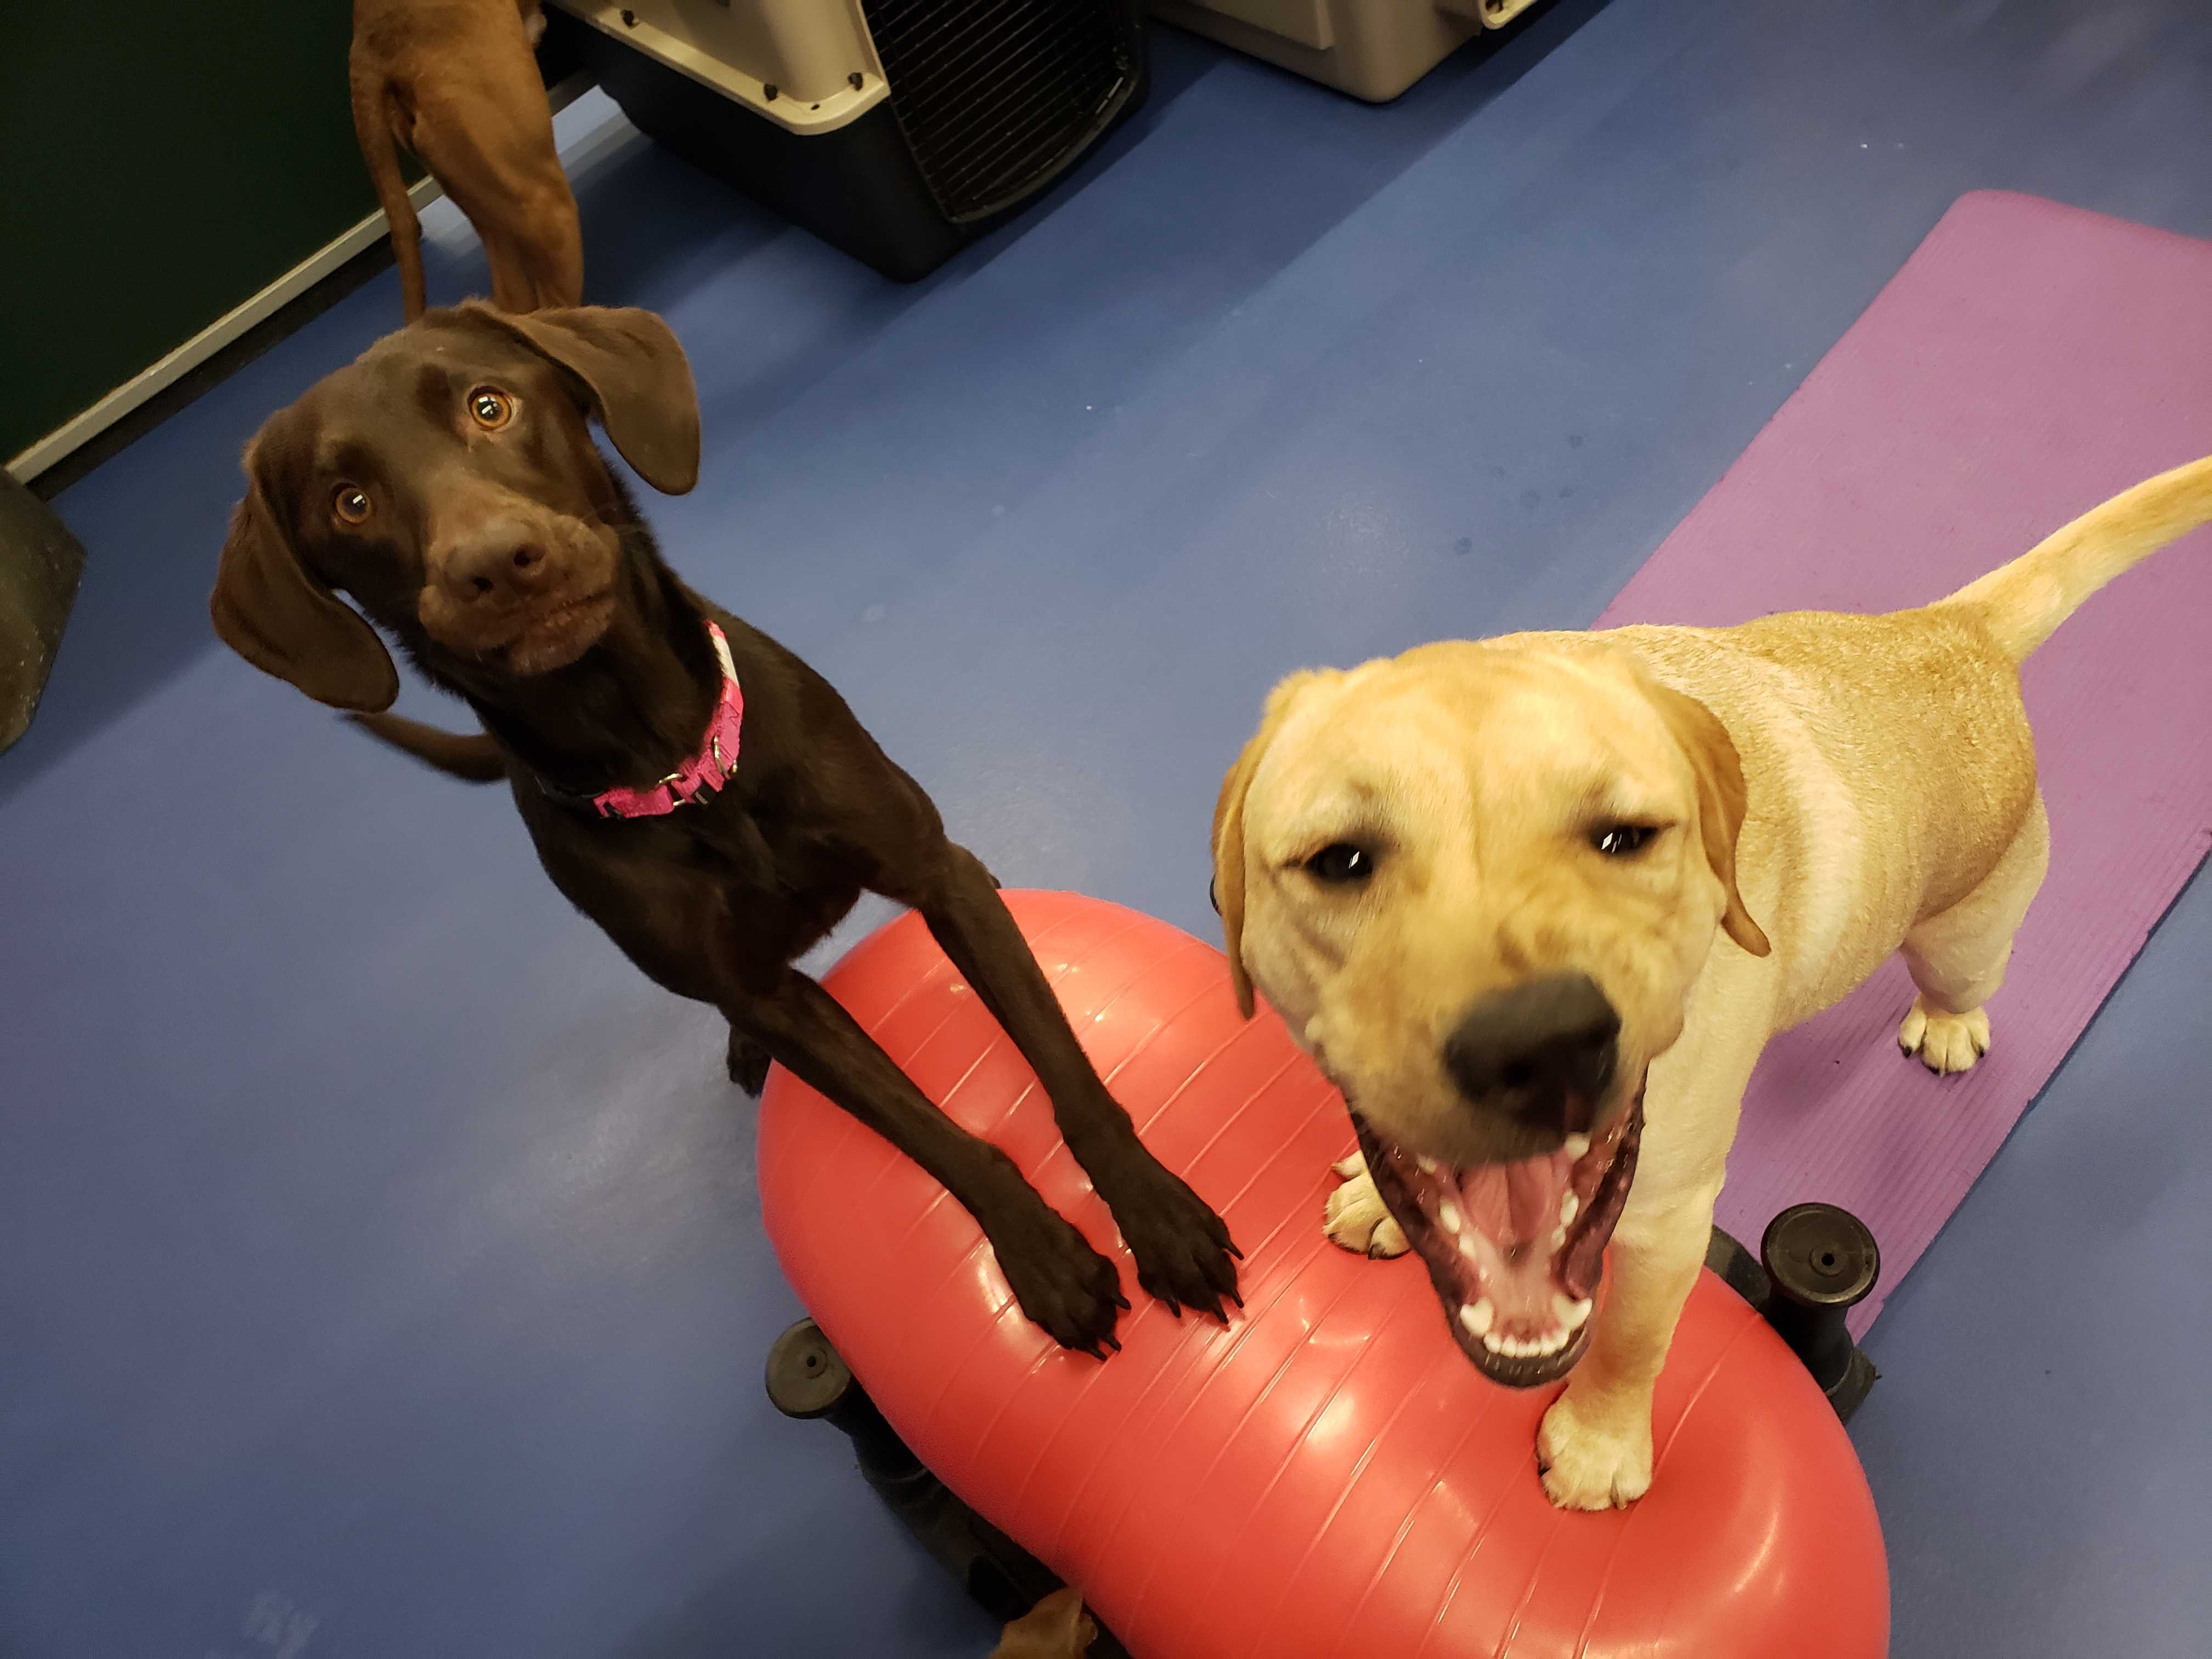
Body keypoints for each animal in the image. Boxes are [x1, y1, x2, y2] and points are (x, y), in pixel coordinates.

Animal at [1212, 451, 2212, 1504]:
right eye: (1341, 860)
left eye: (1624, 837)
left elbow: (1632, 1340)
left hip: (1964, 936)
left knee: (1961, 980)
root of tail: (1955, 629)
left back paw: (1947, 1023)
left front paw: (1600, 1443)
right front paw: (1379, 1193)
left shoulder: (1668, 1218)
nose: (1538, 1047)